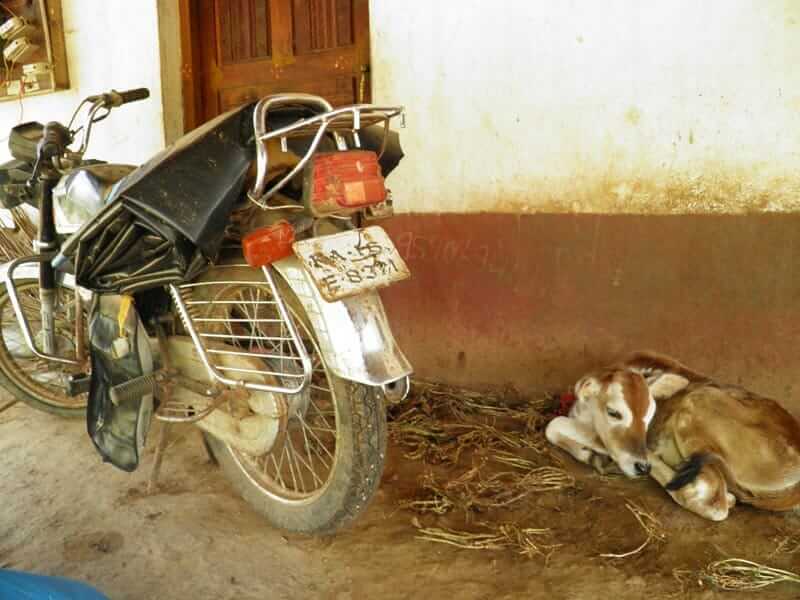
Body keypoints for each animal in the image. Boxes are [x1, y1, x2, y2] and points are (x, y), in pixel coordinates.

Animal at [548, 352, 800, 520]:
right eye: (613, 412)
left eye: (649, 416)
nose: (642, 467)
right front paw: (590, 454)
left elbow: (554, 425)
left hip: (698, 403)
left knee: (713, 500)